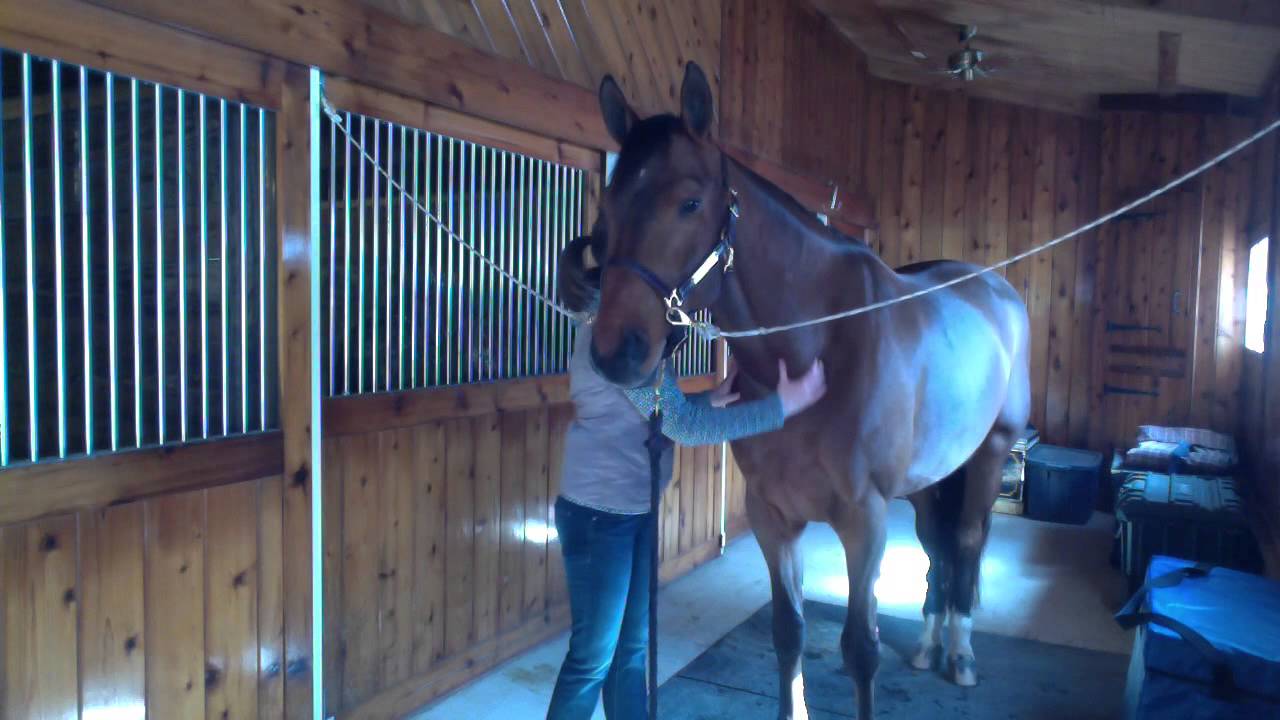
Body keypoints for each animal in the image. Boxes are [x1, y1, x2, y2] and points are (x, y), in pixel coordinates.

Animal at [584, 62, 1031, 720]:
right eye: (609, 205)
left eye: (689, 203)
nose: (617, 352)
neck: (815, 345)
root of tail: (996, 291)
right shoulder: (771, 516)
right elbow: (787, 630)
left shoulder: (865, 520)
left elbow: (860, 649)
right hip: (928, 479)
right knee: (937, 548)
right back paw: (928, 645)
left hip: (990, 454)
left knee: (969, 543)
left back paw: (961, 654)